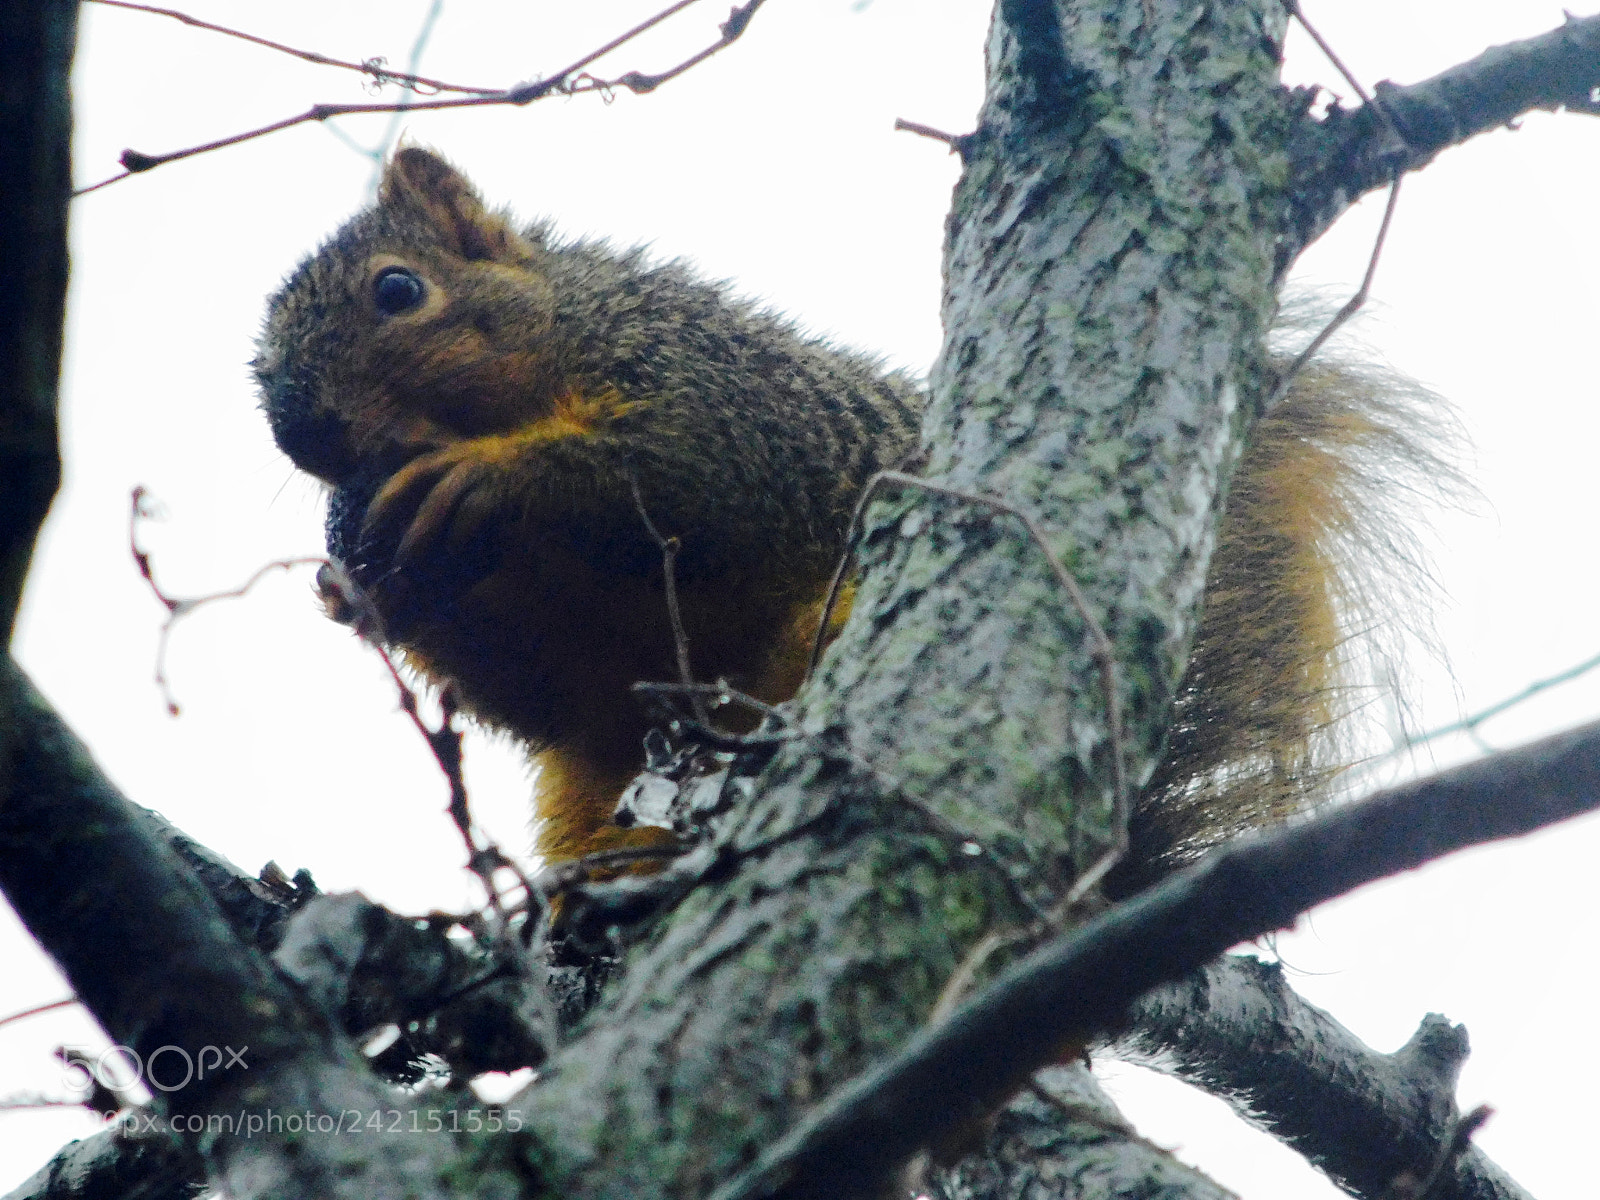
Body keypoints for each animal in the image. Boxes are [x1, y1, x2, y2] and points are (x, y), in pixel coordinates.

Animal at [255, 148, 1448, 886]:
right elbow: (537, 687)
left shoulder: (725, 397)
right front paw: (353, 587)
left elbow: (683, 477)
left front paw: (489, 480)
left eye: (398, 291)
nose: (307, 442)